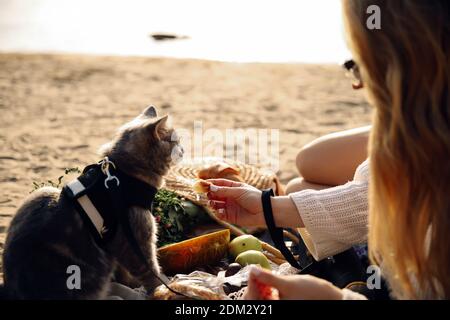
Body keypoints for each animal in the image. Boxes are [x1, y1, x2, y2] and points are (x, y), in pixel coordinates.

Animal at [2, 106, 181, 298]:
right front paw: (165, 288)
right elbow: (151, 272)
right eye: (176, 141)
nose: (183, 149)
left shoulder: (119, 243)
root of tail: (9, 289)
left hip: (42, 192)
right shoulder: (136, 239)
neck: (124, 175)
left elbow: (125, 272)